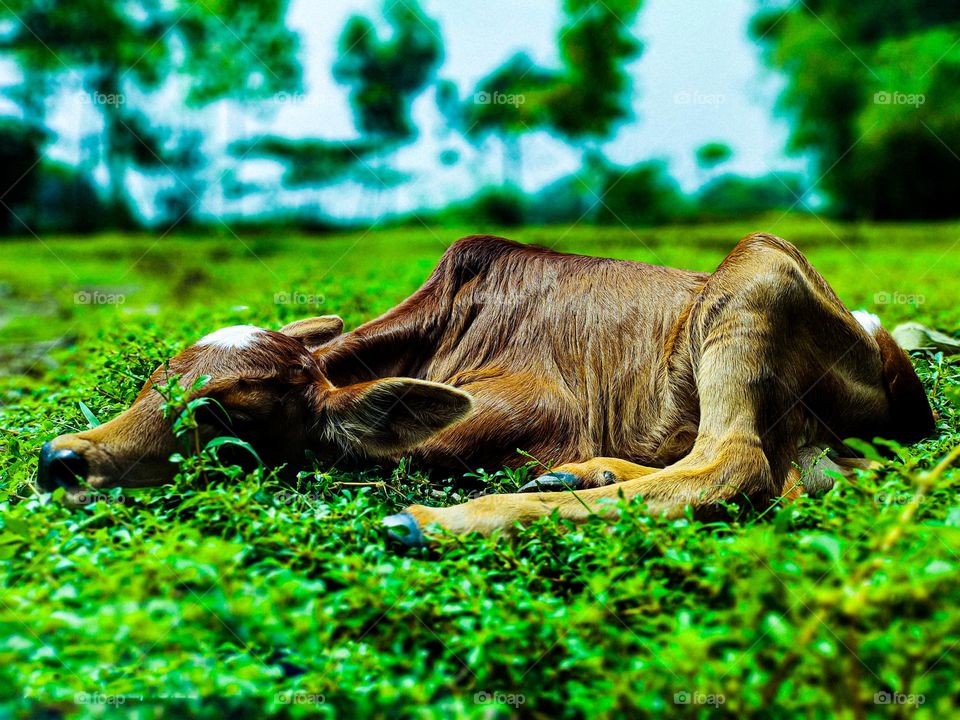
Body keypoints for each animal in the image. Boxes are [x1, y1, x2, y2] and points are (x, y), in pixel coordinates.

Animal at [38, 233, 936, 545]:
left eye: (220, 418)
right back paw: (583, 474)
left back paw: (442, 520)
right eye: (153, 382)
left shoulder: (534, 407)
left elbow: (391, 453)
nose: (59, 461)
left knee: (737, 466)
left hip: (753, 273)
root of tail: (898, 372)